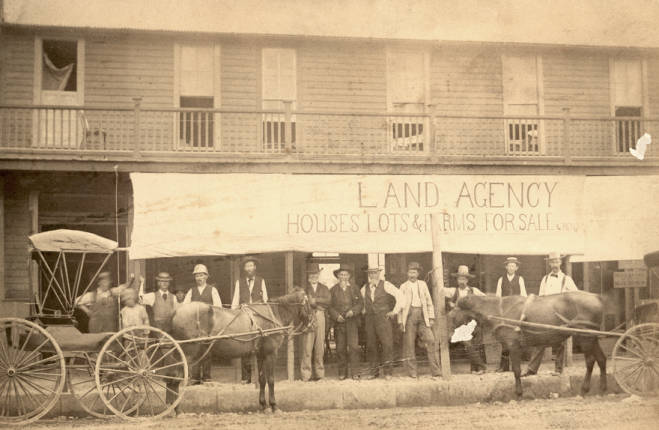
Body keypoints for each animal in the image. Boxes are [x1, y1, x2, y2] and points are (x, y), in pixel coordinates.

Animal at [170, 288, 314, 414]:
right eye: (310, 305)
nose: (312, 324)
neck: (273, 314)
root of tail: (176, 312)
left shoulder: (261, 354)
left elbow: (262, 379)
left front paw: (263, 405)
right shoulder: (271, 354)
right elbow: (271, 379)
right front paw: (274, 406)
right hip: (188, 355)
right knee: (177, 378)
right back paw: (177, 409)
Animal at [448, 292, 608, 400]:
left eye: (454, 312)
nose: (450, 336)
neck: (499, 311)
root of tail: (596, 297)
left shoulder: (513, 345)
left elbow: (517, 371)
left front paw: (519, 394)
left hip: (586, 337)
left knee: (590, 362)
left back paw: (584, 389)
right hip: (592, 338)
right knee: (601, 359)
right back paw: (602, 388)